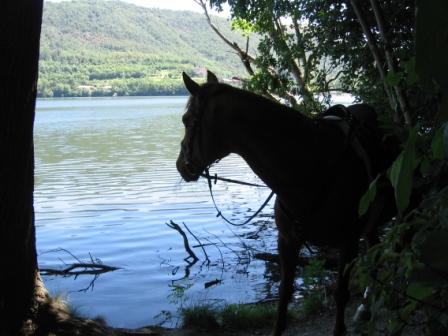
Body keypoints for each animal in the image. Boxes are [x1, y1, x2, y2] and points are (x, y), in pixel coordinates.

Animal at [177, 69, 394, 334]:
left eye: (186, 119)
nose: (180, 165)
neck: (310, 165)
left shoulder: (348, 242)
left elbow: (341, 295)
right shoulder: (288, 242)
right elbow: (283, 298)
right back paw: (366, 308)